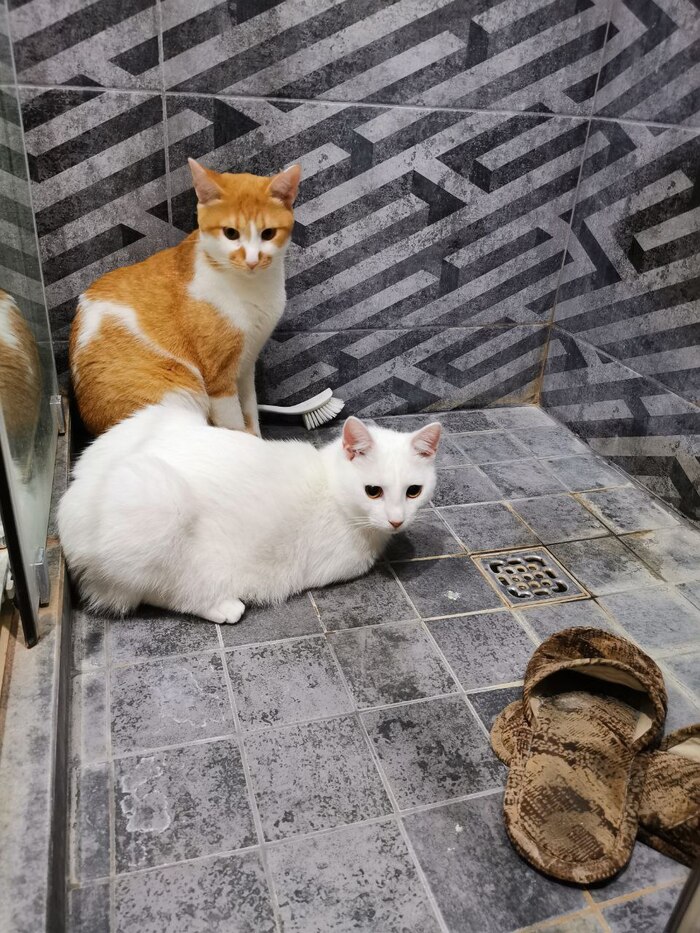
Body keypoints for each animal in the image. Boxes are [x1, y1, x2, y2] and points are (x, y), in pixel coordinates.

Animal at [58, 398, 441, 624]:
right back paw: (222, 605)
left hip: (168, 411)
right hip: (155, 499)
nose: (396, 520)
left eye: (413, 491)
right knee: (159, 589)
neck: (330, 486)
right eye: (373, 491)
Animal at [69, 159, 301, 437]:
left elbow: (251, 409)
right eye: (231, 233)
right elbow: (233, 423)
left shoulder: (246, 365)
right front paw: (246, 440)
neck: (252, 287)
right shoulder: (218, 376)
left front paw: (256, 436)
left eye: (268, 234)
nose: (253, 260)